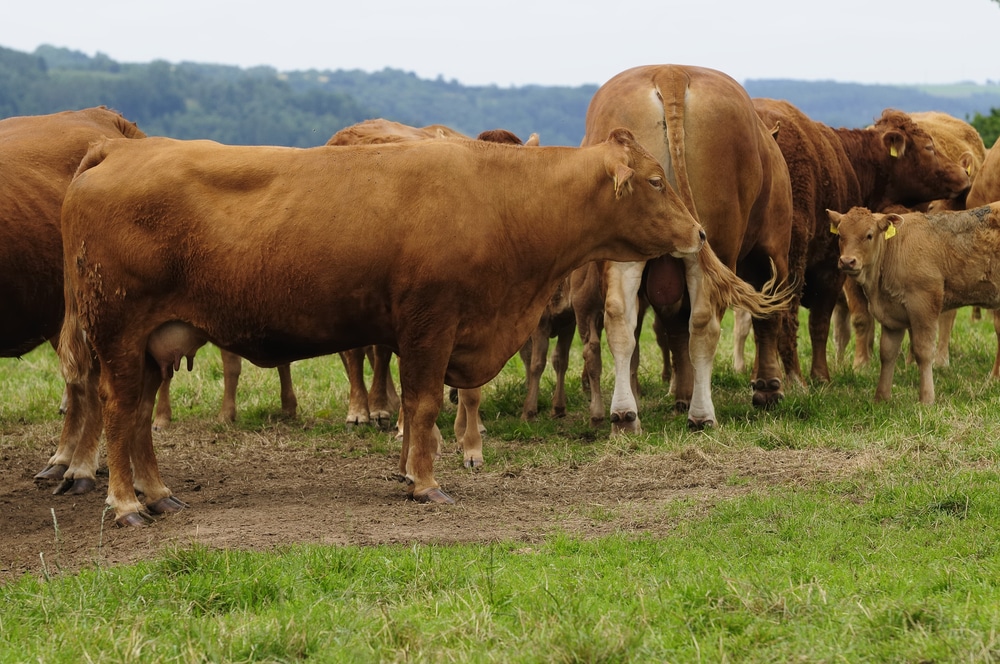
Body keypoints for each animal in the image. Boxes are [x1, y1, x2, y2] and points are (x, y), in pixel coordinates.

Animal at [56, 128, 712, 524]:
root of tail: (118, 149)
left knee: (140, 414)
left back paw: (159, 495)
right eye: (657, 182)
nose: (700, 232)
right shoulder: (431, 324)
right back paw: (125, 503)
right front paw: (424, 483)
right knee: (118, 410)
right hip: (118, 333)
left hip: (153, 341)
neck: (501, 198)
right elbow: (421, 405)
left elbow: (416, 409)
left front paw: (408, 470)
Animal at [576, 65, 792, 434]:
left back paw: (625, 415)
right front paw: (767, 387)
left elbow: (673, 328)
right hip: (715, 244)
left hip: (627, 253)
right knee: (705, 323)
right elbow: (766, 316)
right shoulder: (772, 250)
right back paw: (702, 415)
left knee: (619, 318)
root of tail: (671, 73)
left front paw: (681, 394)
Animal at [732, 103, 972, 384]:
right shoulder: (832, 268)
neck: (851, 159)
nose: (964, 174)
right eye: (929, 147)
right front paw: (821, 376)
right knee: (785, 317)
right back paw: (795, 378)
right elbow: (820, 323)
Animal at [828, 206, 1000, 404]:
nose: (847, 261)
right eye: (840, 235)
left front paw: (926, 399)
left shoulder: (924, 306)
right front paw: (881, 397)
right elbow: (887, 353)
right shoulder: (891, 316)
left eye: (869, 235)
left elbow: (923, 351)